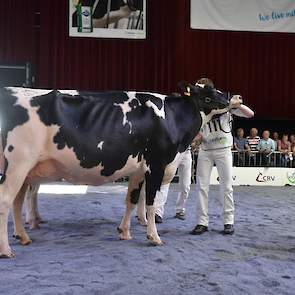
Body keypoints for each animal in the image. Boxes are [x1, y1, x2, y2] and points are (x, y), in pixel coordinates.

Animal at [0, 84, 230, 258]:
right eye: (209, 93)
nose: (230, 96)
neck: (172, 118)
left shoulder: (138, 170)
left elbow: (132, 199)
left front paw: (124, 231)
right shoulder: (156, 165)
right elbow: (150, 203)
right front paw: (154, 237)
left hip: (26, 170)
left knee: (17, 201)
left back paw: (23, 236)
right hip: (18, 163)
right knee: (6, 201)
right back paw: (6, 250)